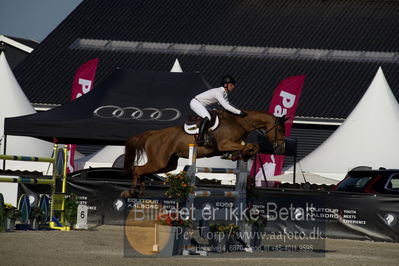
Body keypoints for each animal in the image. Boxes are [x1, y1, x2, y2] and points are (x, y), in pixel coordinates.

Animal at [123, 109, 286, 196]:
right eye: (280, 129)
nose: (281, 148)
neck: (240, 122)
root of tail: (152, 133)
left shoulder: (234, 144)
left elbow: (253, 146)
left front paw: (238, 155)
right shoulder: (224, 144)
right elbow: (252, 146)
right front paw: (240, 154)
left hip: (168, 164)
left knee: (143, 170)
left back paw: (141, 191)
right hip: (159, 161)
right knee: (137, 169)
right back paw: (132, 191)